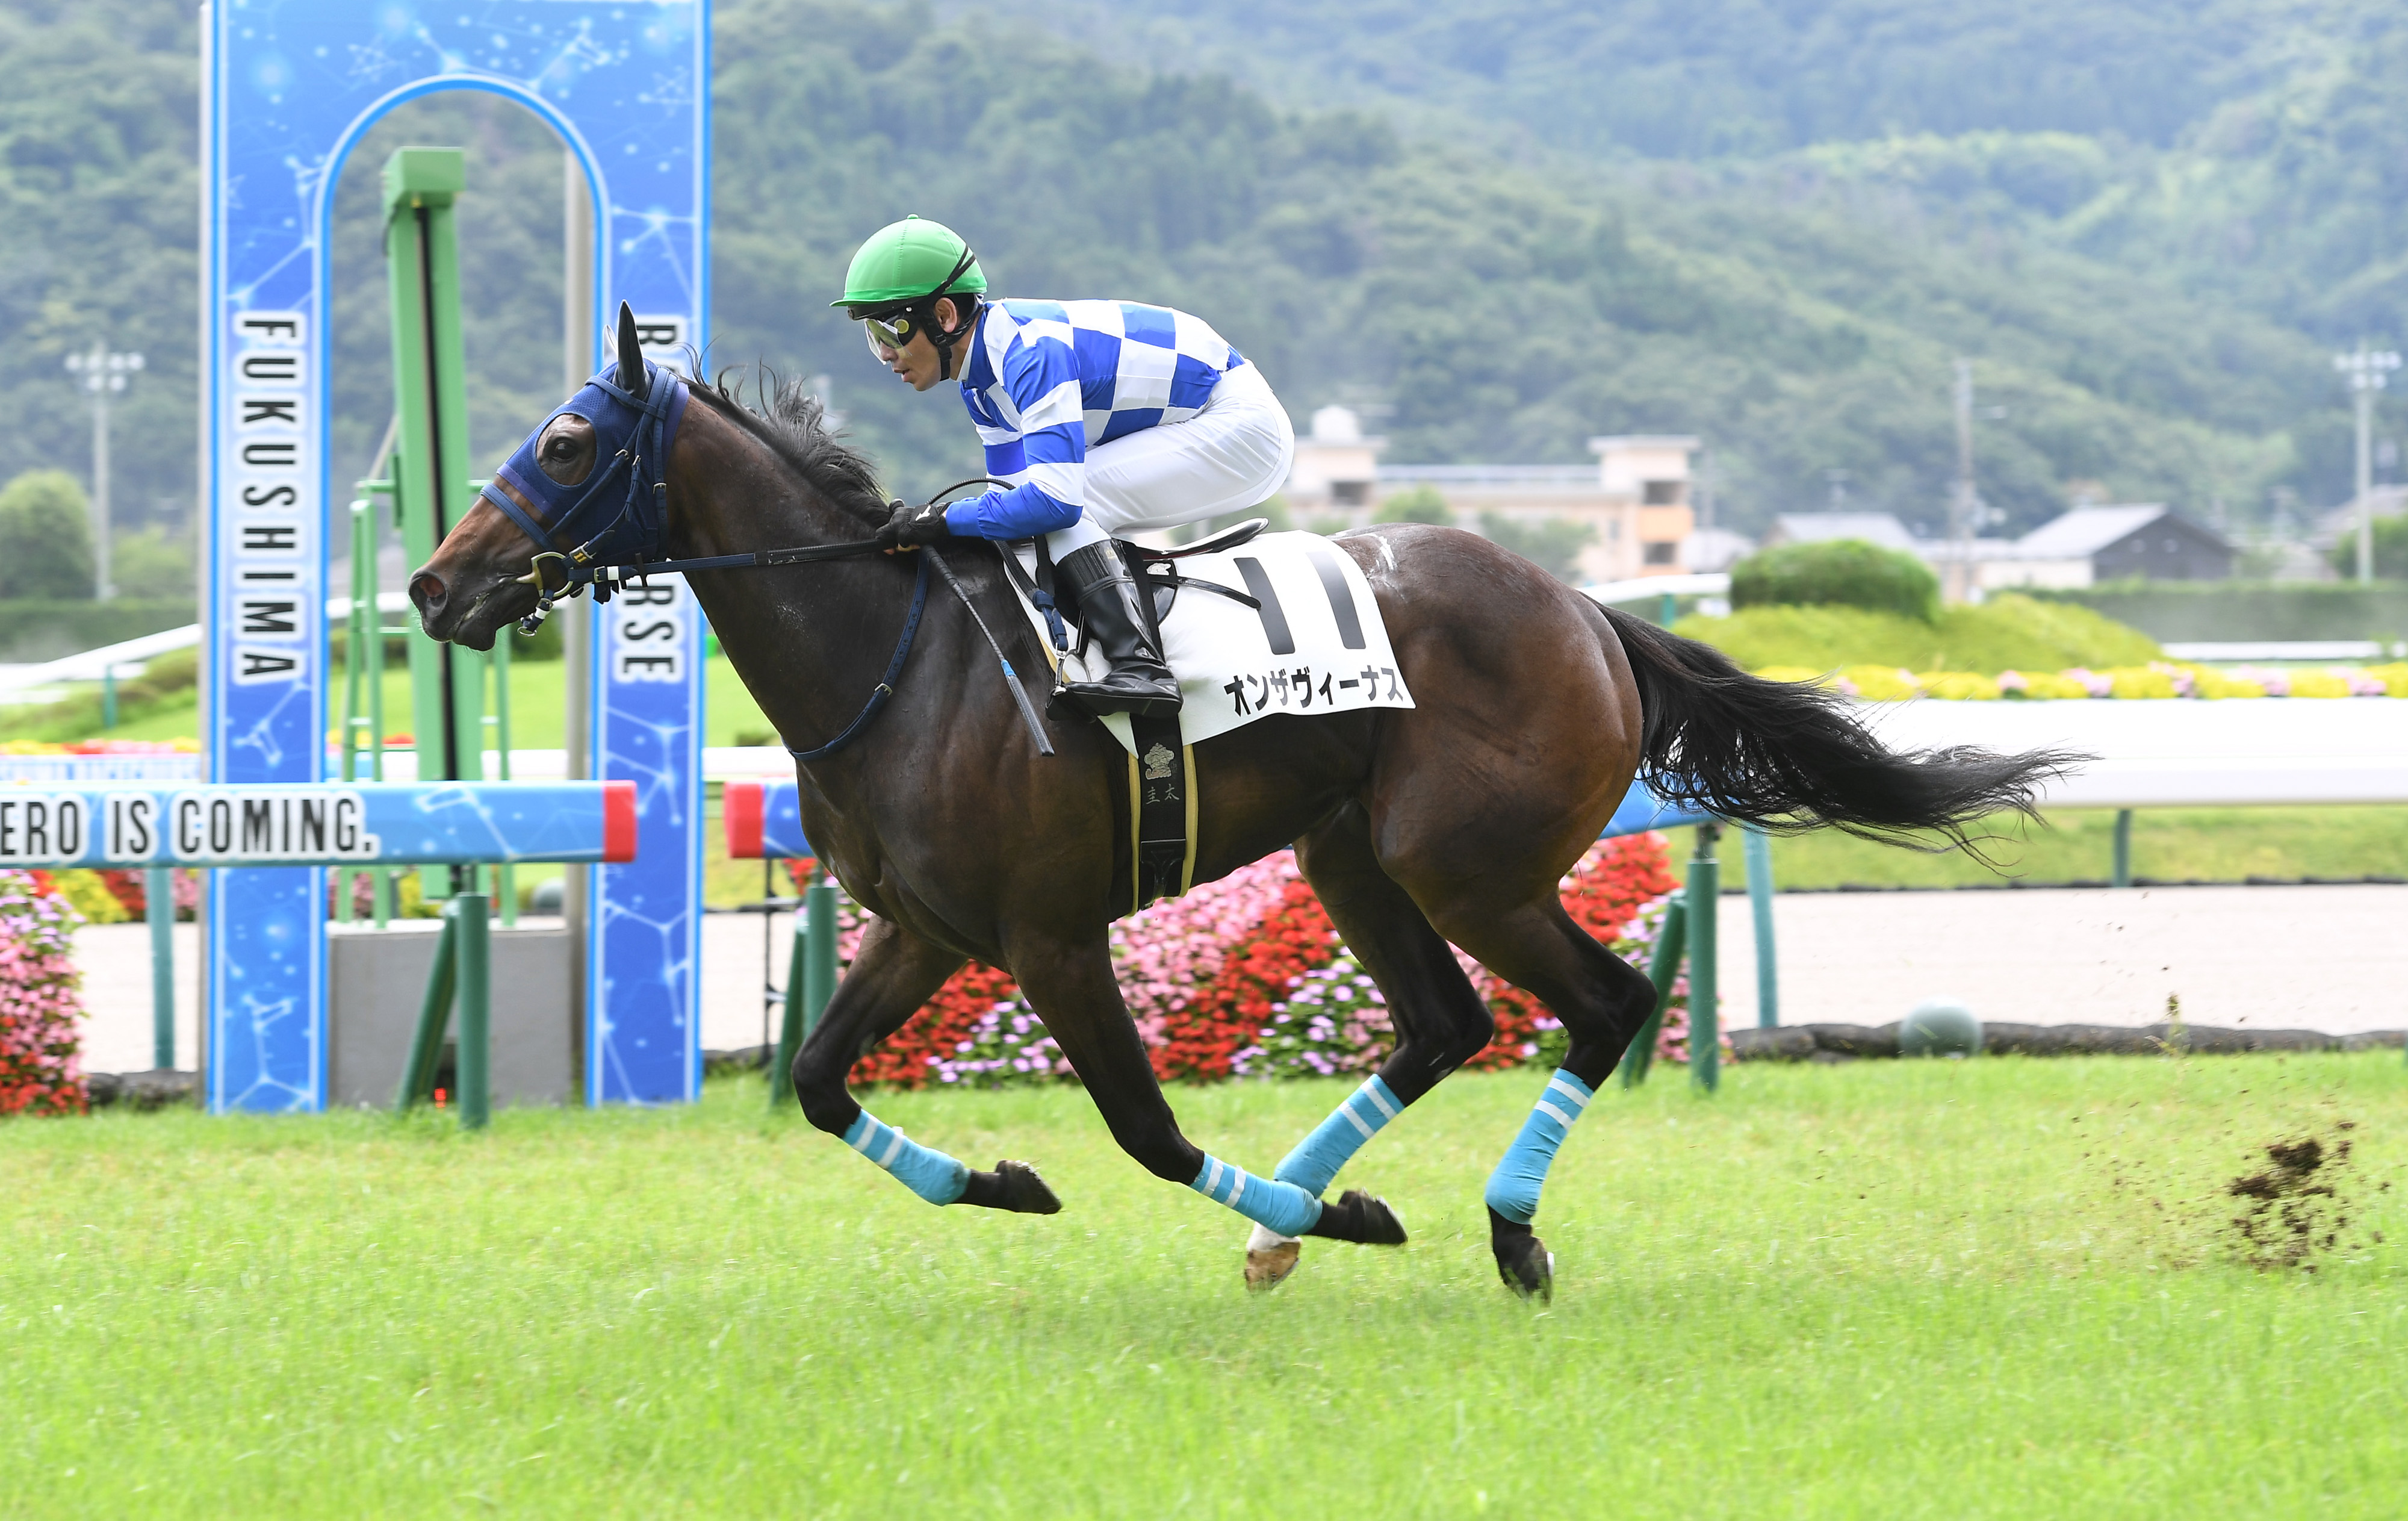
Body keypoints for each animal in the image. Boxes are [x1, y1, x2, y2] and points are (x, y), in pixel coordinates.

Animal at [414, 308, 2071, 1299]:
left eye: (564, 442)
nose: (435, 586)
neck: (898, 661)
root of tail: (1591, 608)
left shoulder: (1051, 935)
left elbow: (1146, 1131)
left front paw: (1334, 1217)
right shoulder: (924, 925)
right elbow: (818, 1081)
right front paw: (1006, 1178)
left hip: (1470, 866)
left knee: (1595, 1007)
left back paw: (1495, 1229)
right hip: (1352, 853)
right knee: (1441, 1024)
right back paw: (1302, 1219)